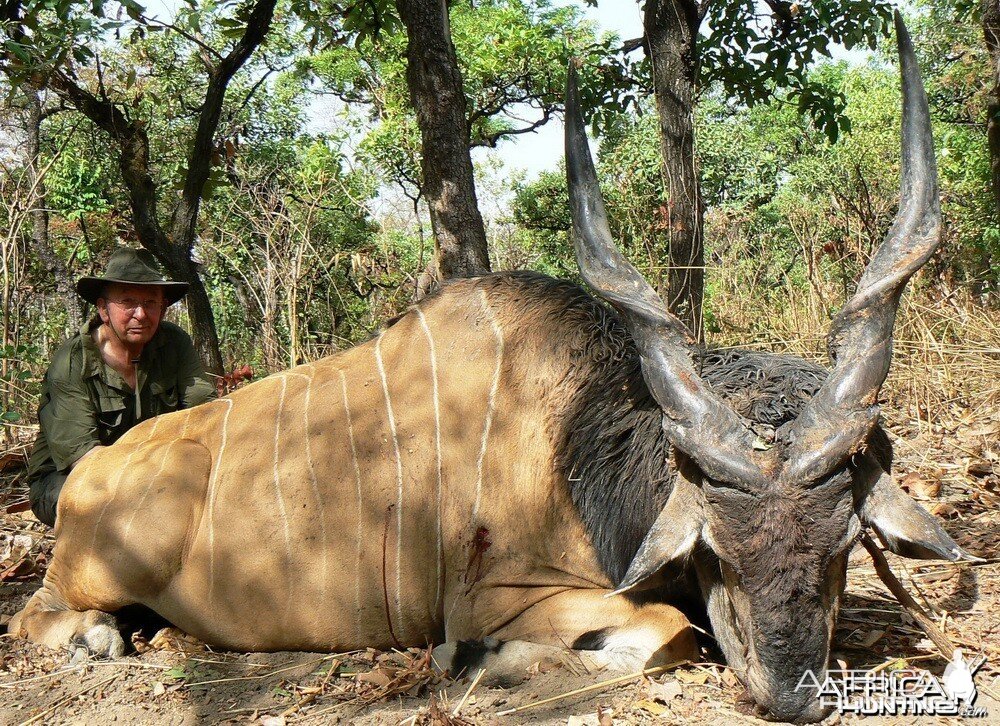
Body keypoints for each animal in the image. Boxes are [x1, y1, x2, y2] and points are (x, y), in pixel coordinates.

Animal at [7, 15, 976, 724]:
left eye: (842, 546)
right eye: (716, 551)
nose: (794, 695)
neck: (573, 437)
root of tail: (94, 474)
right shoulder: (501, 594)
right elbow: (666, 632)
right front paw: (475, 659)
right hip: (93, 570)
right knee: (35, 613)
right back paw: (97, 640)